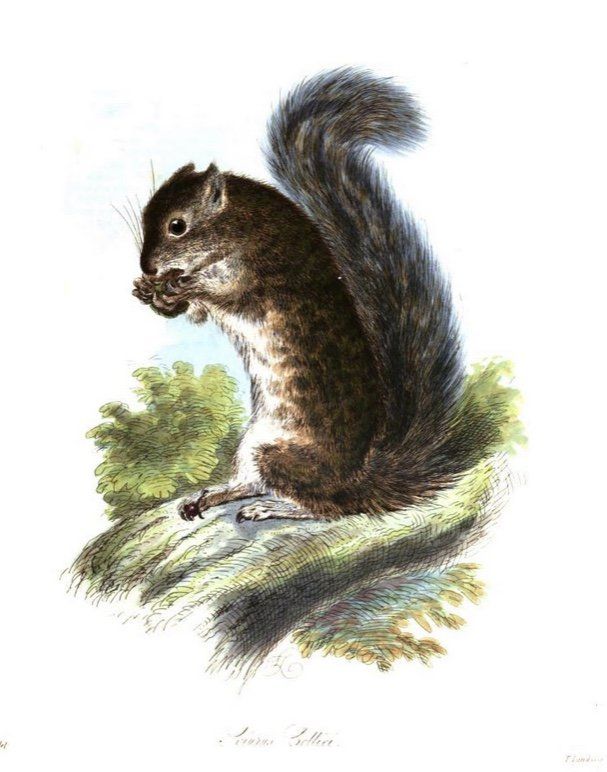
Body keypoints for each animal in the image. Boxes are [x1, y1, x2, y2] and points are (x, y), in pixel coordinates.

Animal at [132, 68, 488, 523]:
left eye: (177, 226)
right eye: (146, 216)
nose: (147, 267)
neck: (237, 221)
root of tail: (358, 479)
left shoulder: (258, 269)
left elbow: (228, 294)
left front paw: (181, 285)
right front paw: (152, 292)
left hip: (279, 454)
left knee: (322, 507)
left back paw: (270, 508)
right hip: (253, 444)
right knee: (253, 482)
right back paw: (210, 496)